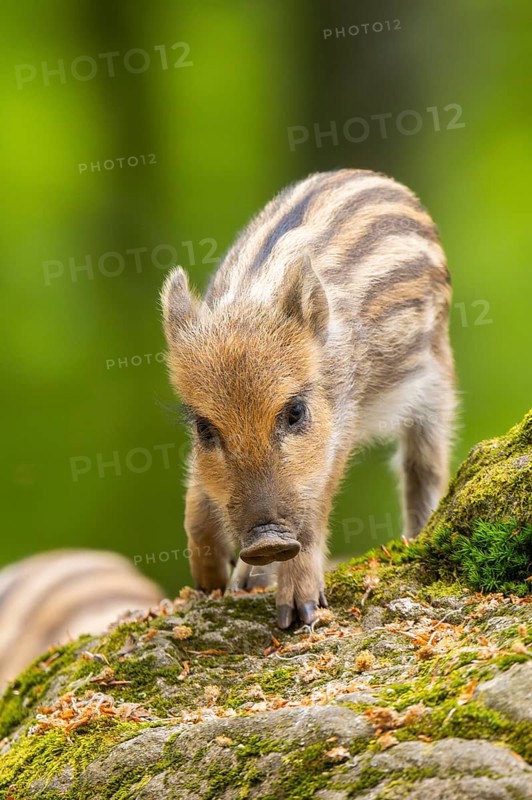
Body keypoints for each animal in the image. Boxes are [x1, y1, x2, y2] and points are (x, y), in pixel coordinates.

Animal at [161, 169, 456, 628]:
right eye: (205, 428)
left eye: (295, 412)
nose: (265, 541)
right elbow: (196, 495)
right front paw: (209, 583)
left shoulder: (340, 418)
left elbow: (316, 504)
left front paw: (300, 613)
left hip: (436, 376)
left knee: (423, 465)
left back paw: (416, 536)